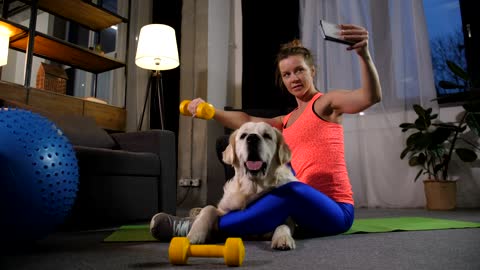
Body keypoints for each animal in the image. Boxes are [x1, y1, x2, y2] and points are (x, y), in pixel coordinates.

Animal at [187, 121, 296, 250]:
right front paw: (195, 233)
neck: (253, 187)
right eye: (243, 135)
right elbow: (209, 209)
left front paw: (282, 238)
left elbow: (284, 224)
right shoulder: (224, 210)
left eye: (267, 135)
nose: (252, 138)